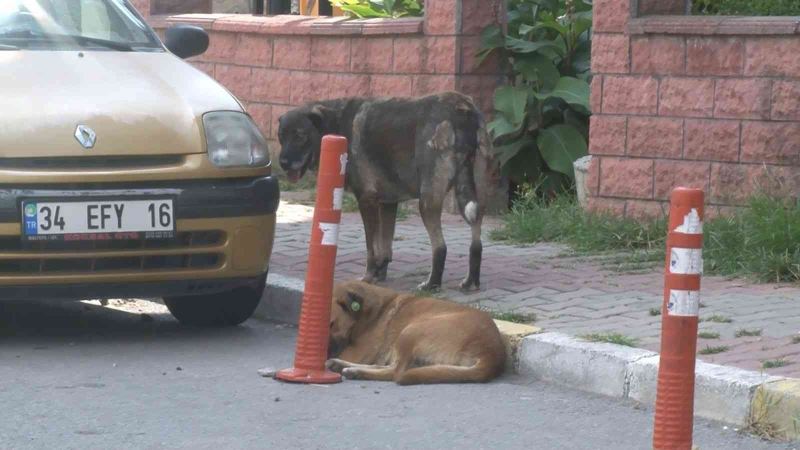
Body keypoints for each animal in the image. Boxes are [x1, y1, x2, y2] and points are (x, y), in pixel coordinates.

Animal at [278, 91, 496, 292]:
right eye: (281, 137)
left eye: (300, 136)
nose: (282, 163)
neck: (335, 124)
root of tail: (462, 107)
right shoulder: (388, 204)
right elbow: (385, 246)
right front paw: (380, 273)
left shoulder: (366, 201)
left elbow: (371, 248)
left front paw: (368, 277)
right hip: (477, 196)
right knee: (476, 243)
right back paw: (471, 281)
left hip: (427, 202)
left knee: (440, 247)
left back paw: (432, 284)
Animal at [324, 282, 500, 384]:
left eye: (331, 324)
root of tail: (491, 353)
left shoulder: (358, 352)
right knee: (387, 366)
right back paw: (342, 366)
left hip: (410, 331)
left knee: (395, 372)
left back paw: (354, 371)